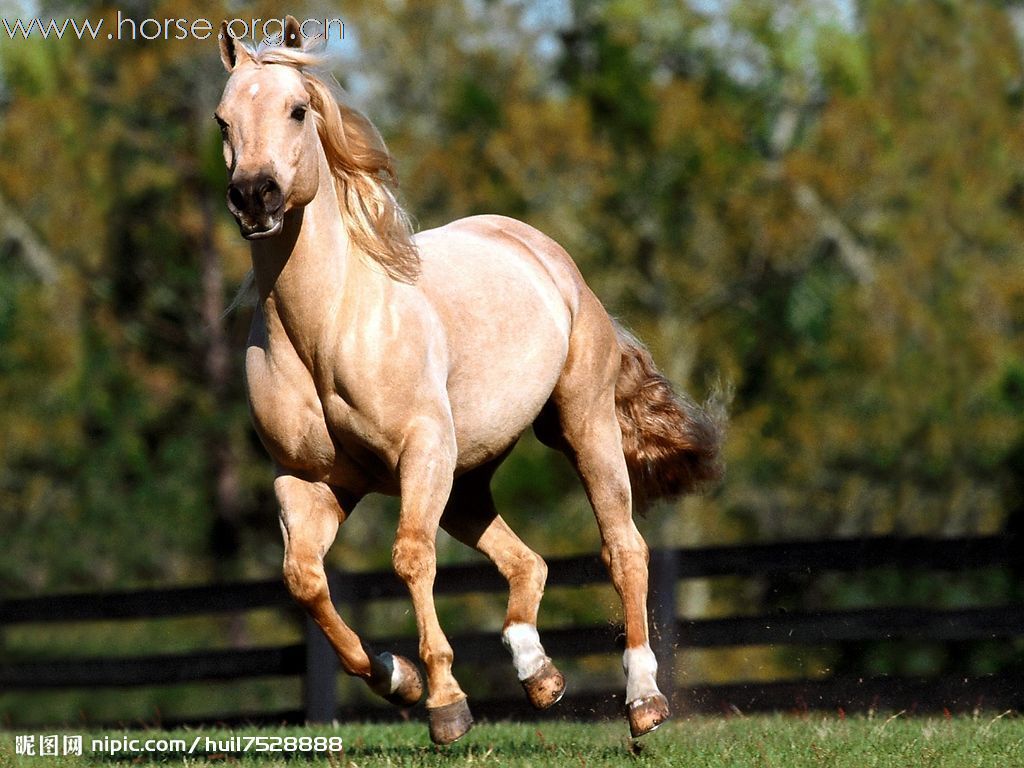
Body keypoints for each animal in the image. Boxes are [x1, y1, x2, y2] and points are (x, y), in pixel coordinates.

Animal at [215, 16, 724, 745]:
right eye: (223, 119)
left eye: (298, 109)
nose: (255, 196)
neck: (328, 328)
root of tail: (549, 256)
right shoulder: (310, 482)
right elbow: (303, 581)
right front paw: (398, 679)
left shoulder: (420, 453)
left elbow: (409, 558)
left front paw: (446, 704)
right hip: (466, 478)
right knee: (526, 562)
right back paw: (538, 676)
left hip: (583, 426)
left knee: (623, 549)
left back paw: (644, 700)